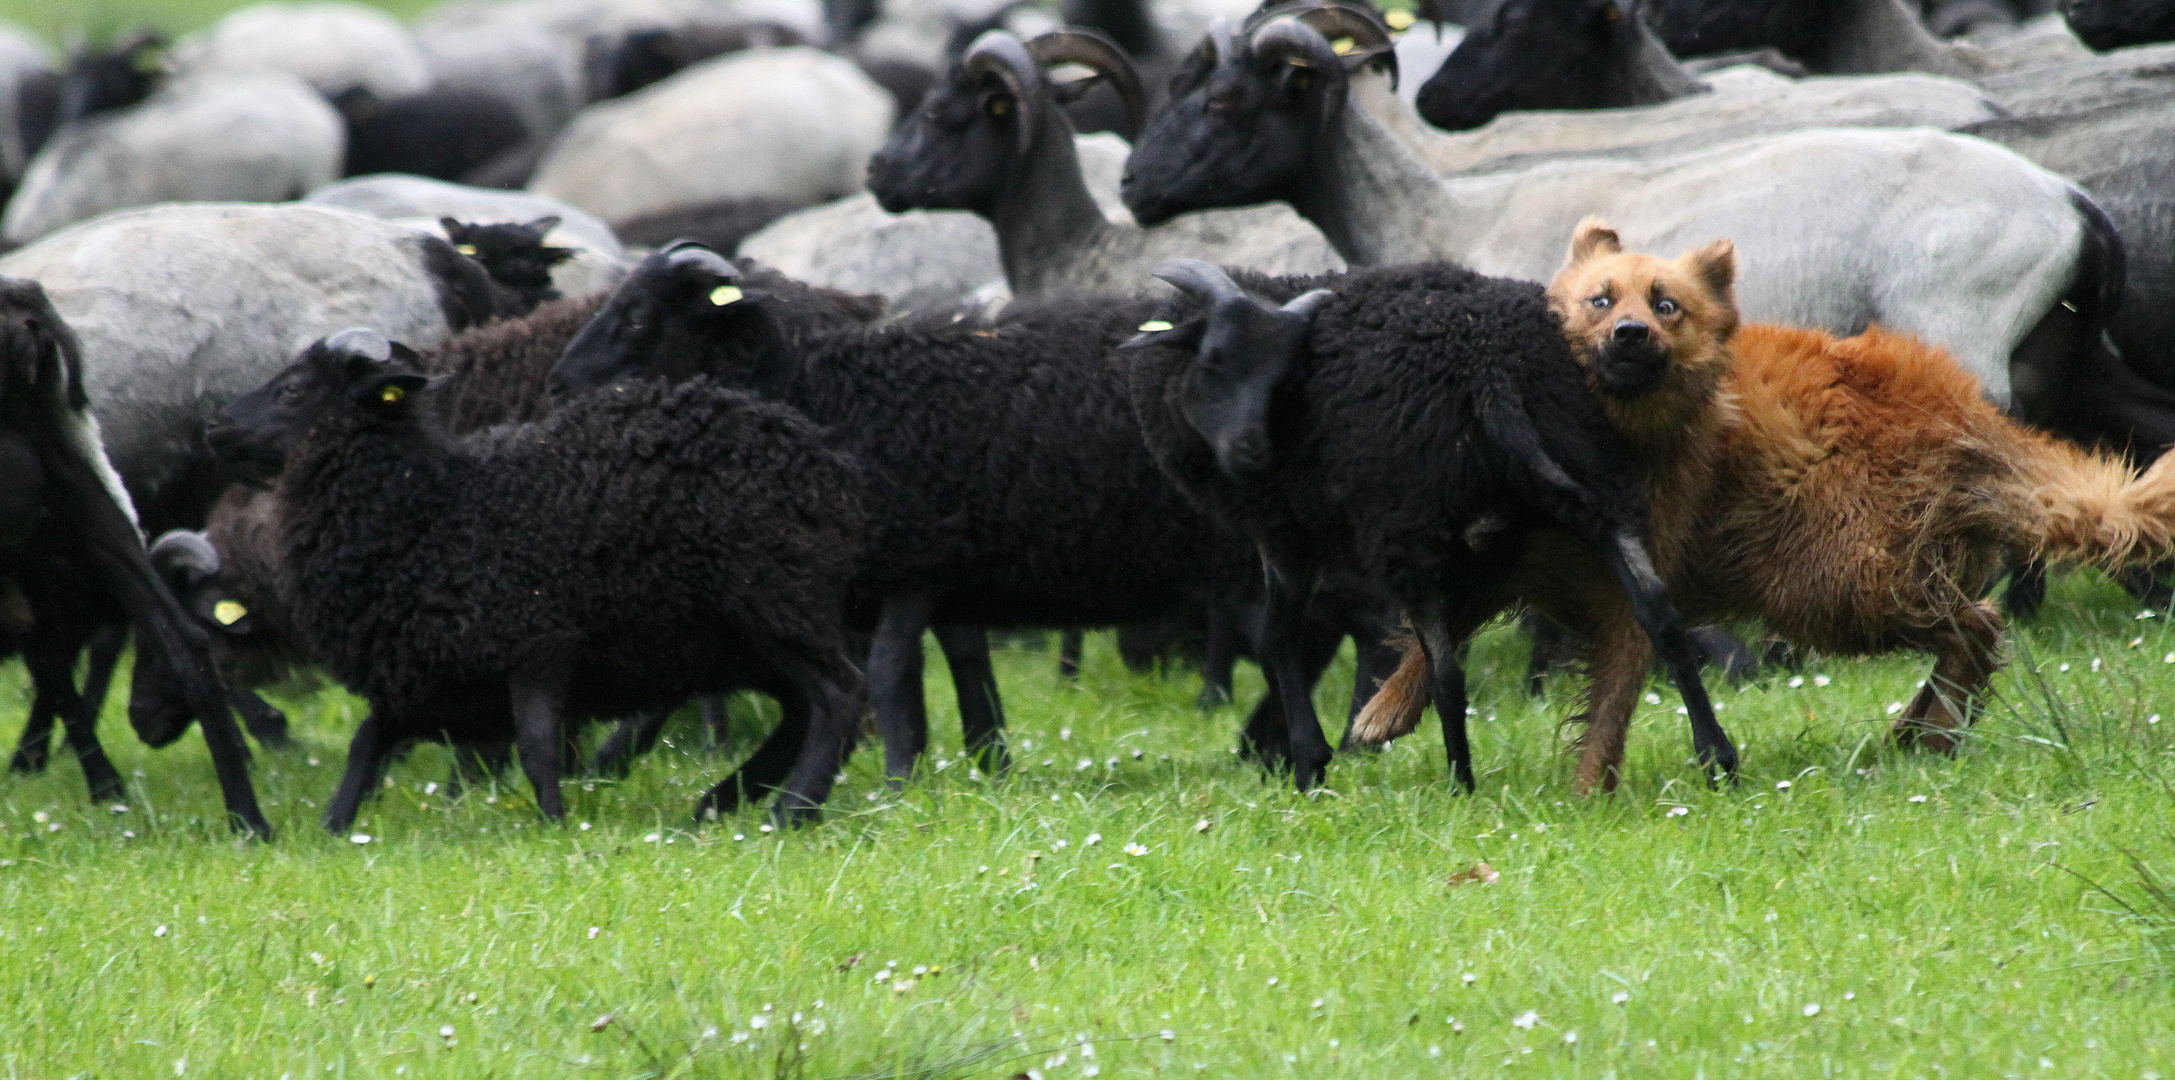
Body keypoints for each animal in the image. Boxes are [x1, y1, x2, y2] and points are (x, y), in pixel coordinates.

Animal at [1122, 256, 1731, 786]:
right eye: (1214, 361)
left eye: (1279, 378)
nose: (1250, 453)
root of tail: (1490, 366)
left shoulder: (1283, 532)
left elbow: (1279, 638)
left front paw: (1308, 766)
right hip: (1592, 475)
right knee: (1659, 613)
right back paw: (1717, 759)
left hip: (1408, 528)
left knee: (1448, 674)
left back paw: (1461, 785)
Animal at [1348, 215, 2175, 786]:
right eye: (1598, 299)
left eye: (1667, 306)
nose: (1628, 334)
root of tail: (1959, 408)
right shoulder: (1506, 557)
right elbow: (1435, 638)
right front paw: (1387, 707)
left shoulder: (1627, 600)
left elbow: (1608, 706)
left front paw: (1584, 796)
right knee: (1969, 635)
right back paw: (1918, 731)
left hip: (1826, 585)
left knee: (1978, 625)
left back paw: (1932, 731)